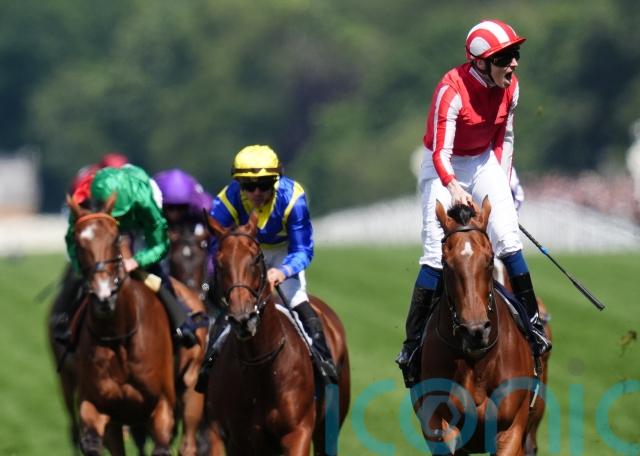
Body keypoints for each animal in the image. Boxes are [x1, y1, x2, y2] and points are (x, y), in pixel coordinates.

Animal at [65, 194, 207, 455]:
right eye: (78, 243)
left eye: (114, 238)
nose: (104, 295)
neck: (119, 335)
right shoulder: (97, 404)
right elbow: (91, 442)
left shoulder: (162, 405)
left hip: (192, 388)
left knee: (188, 444)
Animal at [202, 212, 351, 455]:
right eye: (219, 262)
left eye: (255, 258)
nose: (243, 318)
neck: (260, 366)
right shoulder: (224, 435)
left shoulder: (297, 433)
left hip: (328, 427)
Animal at [413, 197, 549, 455]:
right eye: (447, 264)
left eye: (488, 260)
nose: (475, 331)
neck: (477, 364)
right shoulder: (440, 427)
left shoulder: (510, 431)